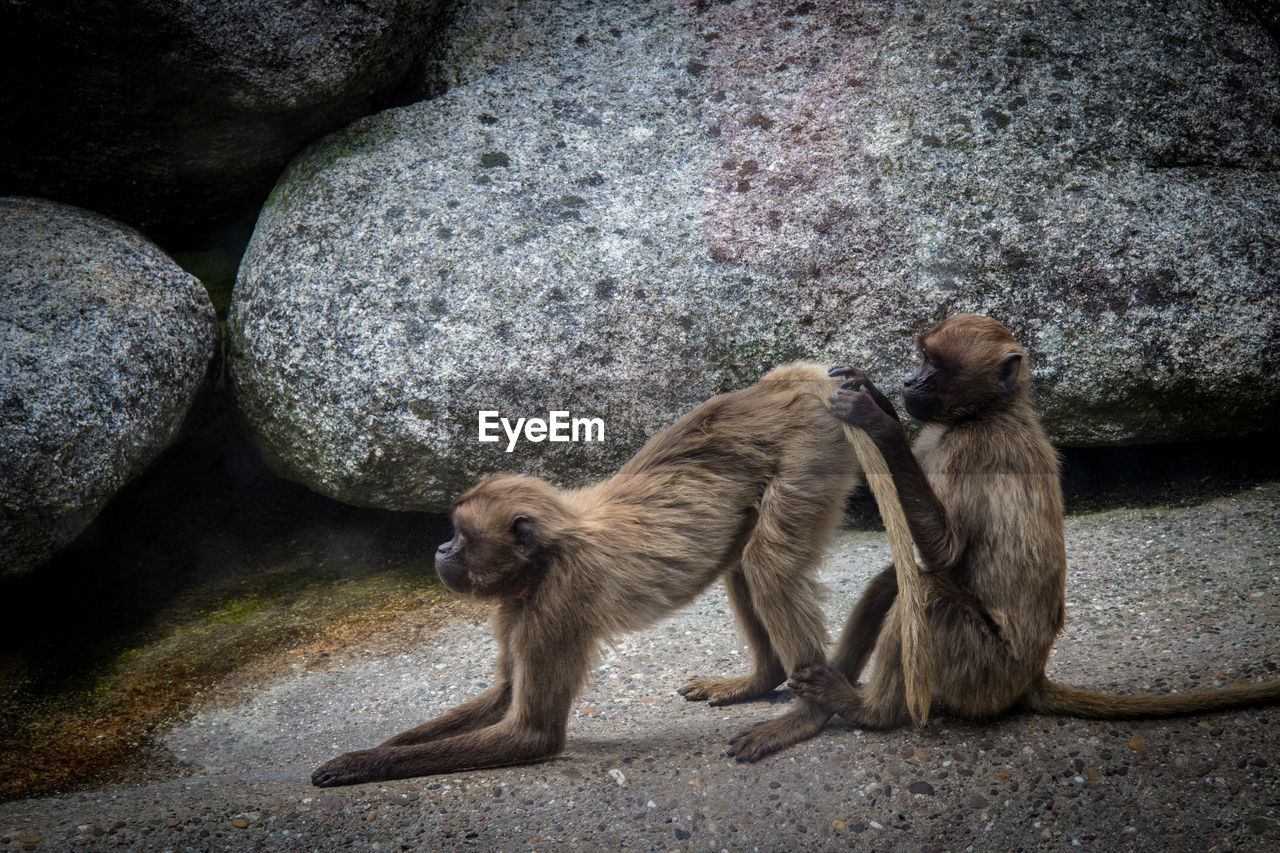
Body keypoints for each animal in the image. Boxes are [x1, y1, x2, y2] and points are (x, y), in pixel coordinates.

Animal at [310, 361, 928, 786]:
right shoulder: (518, 604)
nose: (441, 547)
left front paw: (358, 763)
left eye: (461, 536)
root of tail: (791, 381)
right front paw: (386, 748)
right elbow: (504, 693)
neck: (551, 551)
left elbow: (531, 734)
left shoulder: (555, 603)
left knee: (766, 562)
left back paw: (808, 715)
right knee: (746, 560)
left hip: (808, 449)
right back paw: (762, 679)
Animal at [728, 313, 1280, 763]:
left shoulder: (974, 452)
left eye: (933, 365)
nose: (908, 380)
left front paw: (876, 420)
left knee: (926, 596)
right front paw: (874, 392)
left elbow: (946, 550)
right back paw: (812, 708)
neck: (988, 412)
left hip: (985, 673)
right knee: (895, 584)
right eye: (921, 359)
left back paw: (867, 710)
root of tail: (1030, 678)